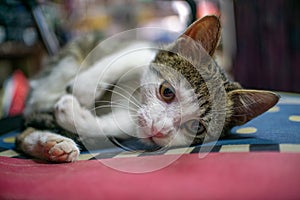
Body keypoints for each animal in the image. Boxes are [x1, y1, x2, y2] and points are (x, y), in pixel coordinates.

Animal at [15, 15, 278, 162]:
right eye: (167, 92)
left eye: (196, 126)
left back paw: (53, 146)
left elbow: (114, 126)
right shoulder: (145, 48)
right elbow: (130, 57)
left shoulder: (134, 126)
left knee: (24, 132)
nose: (158, 129)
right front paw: (82, 89)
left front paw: (73, 113)